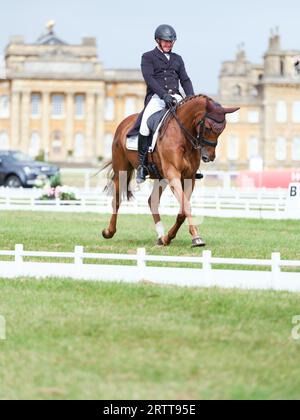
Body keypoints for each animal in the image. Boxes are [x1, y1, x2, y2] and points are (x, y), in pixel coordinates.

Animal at [102, 94, 238, 248]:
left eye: (222, 130)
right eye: (208, 127)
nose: (209, 157)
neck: (183, 136)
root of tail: (124, 123)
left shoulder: (188, 178)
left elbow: (183, 210)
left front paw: (169, 237)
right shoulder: (173, 174)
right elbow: (186, 206)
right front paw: (196, 238)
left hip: (160, 177)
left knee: (152, 201)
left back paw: (161, 237)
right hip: (122, 169)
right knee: (117, 200)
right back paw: (109, 232)